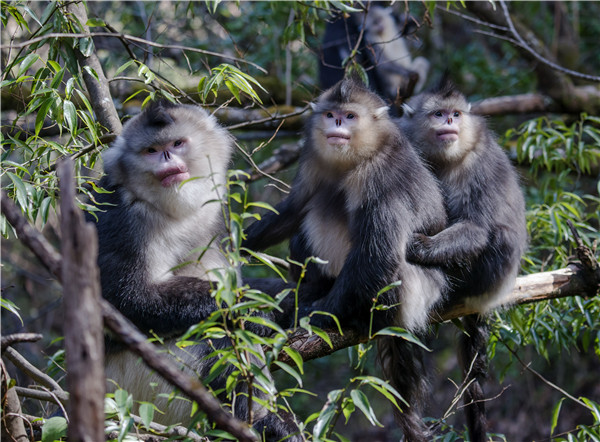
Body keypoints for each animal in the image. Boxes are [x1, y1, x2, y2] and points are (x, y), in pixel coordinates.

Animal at [241, 77, 448, 440]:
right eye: (331, 114)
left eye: (350, 116)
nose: (336, 123)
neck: (354, 158)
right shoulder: (312, 157)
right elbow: (295, 208)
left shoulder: (382, 174)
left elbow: (377, 254)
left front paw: (315, 315)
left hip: (413, 294)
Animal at [400, 80, 528, 442]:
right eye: (438, 113)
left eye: (456, 114)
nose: (449, 122)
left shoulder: (479, 160)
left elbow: (478, 228)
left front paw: (420, 248)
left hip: (490, 277)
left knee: (497, 237)